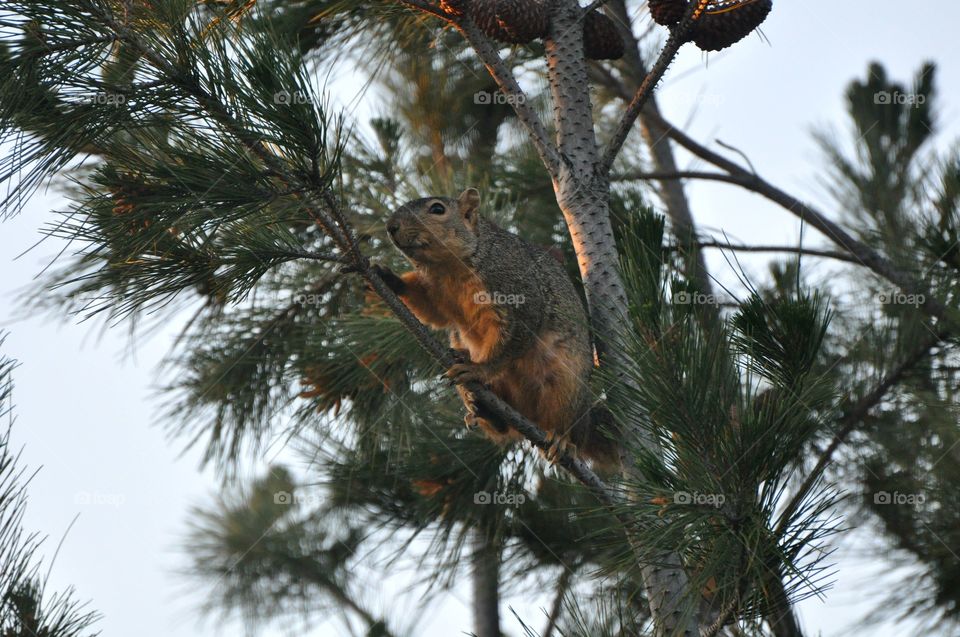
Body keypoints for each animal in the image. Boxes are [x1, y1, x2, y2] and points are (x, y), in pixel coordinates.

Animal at [372, 186, 620, 464]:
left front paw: (479, 369)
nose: (391, 226)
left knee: (568, 422)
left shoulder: (517, 291)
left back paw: (562, 440)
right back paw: (485, 408)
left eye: (437, 209)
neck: (449, 268)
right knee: (501, 428)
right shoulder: (437, 294)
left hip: (569, 387)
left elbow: (513, 340)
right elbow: (433, 313)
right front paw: (386, 276)